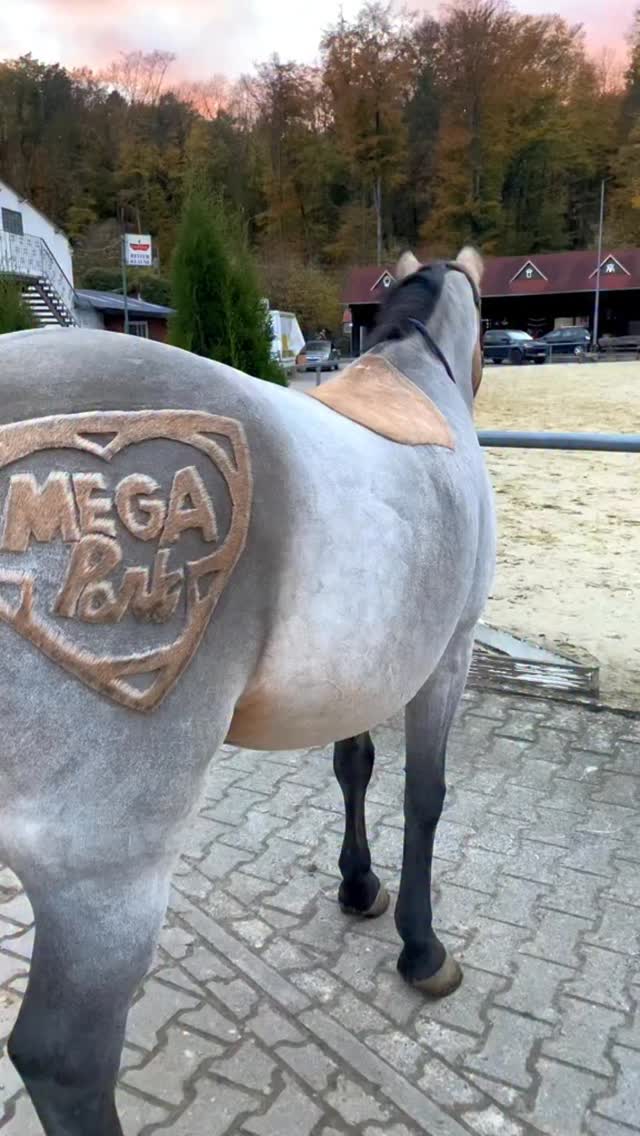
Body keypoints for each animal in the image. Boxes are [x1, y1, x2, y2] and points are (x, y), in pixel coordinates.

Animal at [0, 246, 495, 1135]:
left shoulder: (357, 670)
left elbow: (354, 768)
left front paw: (359, 887)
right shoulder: (449, 654)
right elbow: (425, 796)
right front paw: (421, 949)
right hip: (103, 874)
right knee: (63, 1059)